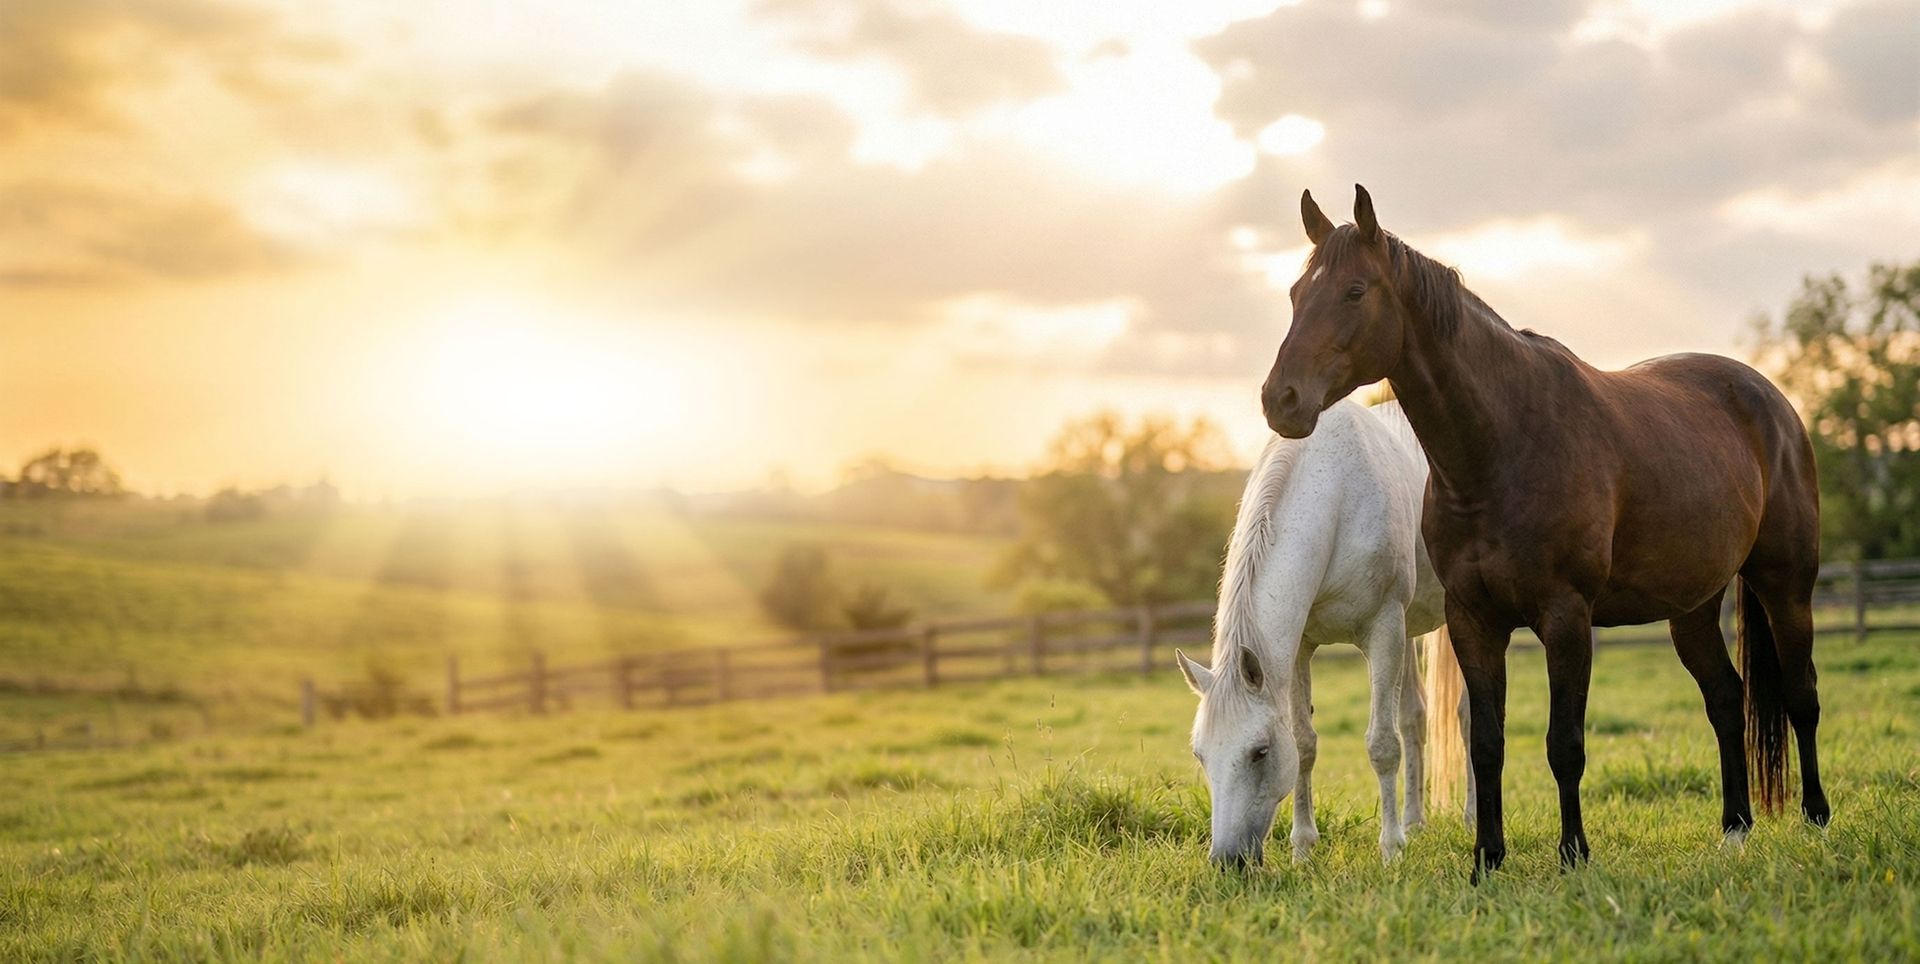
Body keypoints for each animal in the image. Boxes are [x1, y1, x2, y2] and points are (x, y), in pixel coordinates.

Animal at [1176, 397, 1464, 868]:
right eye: (1200, 754)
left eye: (1260, 752)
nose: (1227, 861)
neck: (1338, 501)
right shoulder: (1301, 648)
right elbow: (1305, 744)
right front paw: (1303, 849)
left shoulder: (1384, 628)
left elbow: (1382, 745)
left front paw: (1390, 850)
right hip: (1409, 632)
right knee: (1416, 717)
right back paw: (1415, 823)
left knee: (1465, 716)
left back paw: (1471, 819)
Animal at [1262, 185, 1826, 880]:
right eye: (1295, 293)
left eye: (1355, 291)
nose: (1280, 400)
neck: (1504, 447)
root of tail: (1772, 399)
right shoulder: (1473, 620)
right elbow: (1486, 743)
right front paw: (1487, 858)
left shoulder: (1565, 617)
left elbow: (1565, 744)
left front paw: (1573, 853)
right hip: (1691, 608)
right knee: (1725, 699)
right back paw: (1735, 831)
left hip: (1786, 585)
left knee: (1801, 695)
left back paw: (1816, 819)